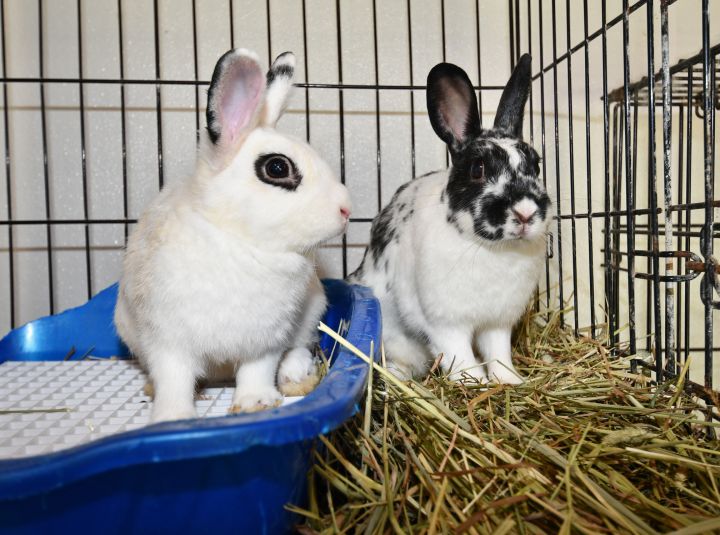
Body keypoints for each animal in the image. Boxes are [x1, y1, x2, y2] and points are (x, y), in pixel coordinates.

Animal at [114, 49, 352, 422]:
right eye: (277, 167)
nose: (345, 210)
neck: (242, 240)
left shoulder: (266, 338)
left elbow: (258, 369)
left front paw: (256, 403)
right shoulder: (167, 340)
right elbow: (174, 377)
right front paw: (173, 417)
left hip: (312, 310)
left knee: (299, 347)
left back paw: (294, 378)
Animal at [349, 54, 551, 384]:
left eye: (536, 165)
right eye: (477, 169)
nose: (525, 212)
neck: (491, 250)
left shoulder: (497, 323)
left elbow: (498, 353)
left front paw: (509, 381)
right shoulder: (445, 323)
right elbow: (459, 354)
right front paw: (474, 382)